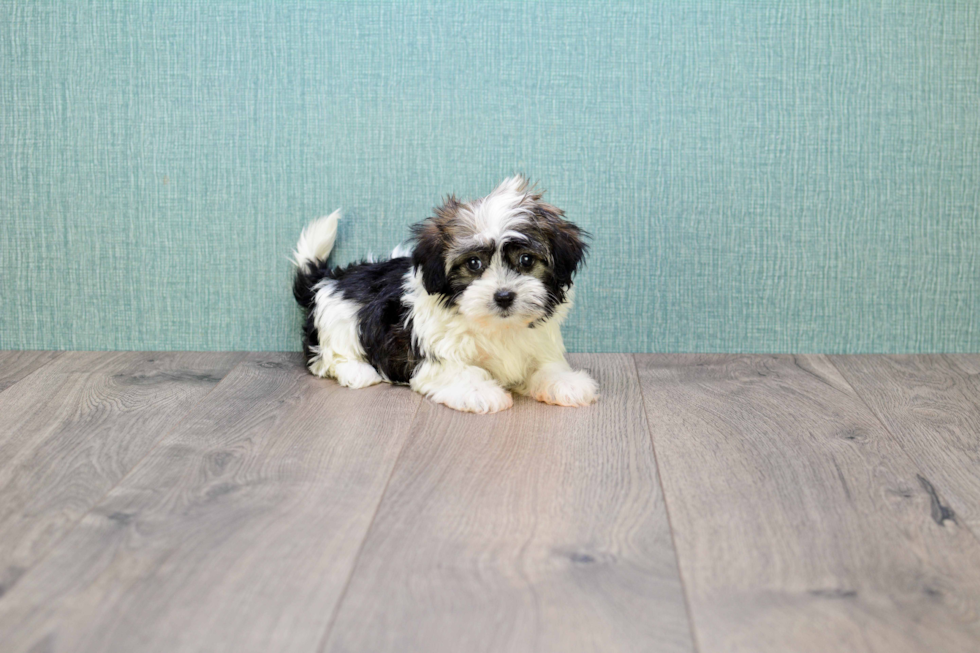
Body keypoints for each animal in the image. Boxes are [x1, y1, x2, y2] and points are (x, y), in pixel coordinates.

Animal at [290, 174, 596, 412]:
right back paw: (358, 371)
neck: (497, 328)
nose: (504, 296)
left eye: (526, 260)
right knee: (325, 358)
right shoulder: (436, 356)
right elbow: (460, 371)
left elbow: (545, 366)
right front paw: (480, 392)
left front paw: (566, 383)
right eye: (473, 263)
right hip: (339, 322)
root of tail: (329, 278)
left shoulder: (538, 344)